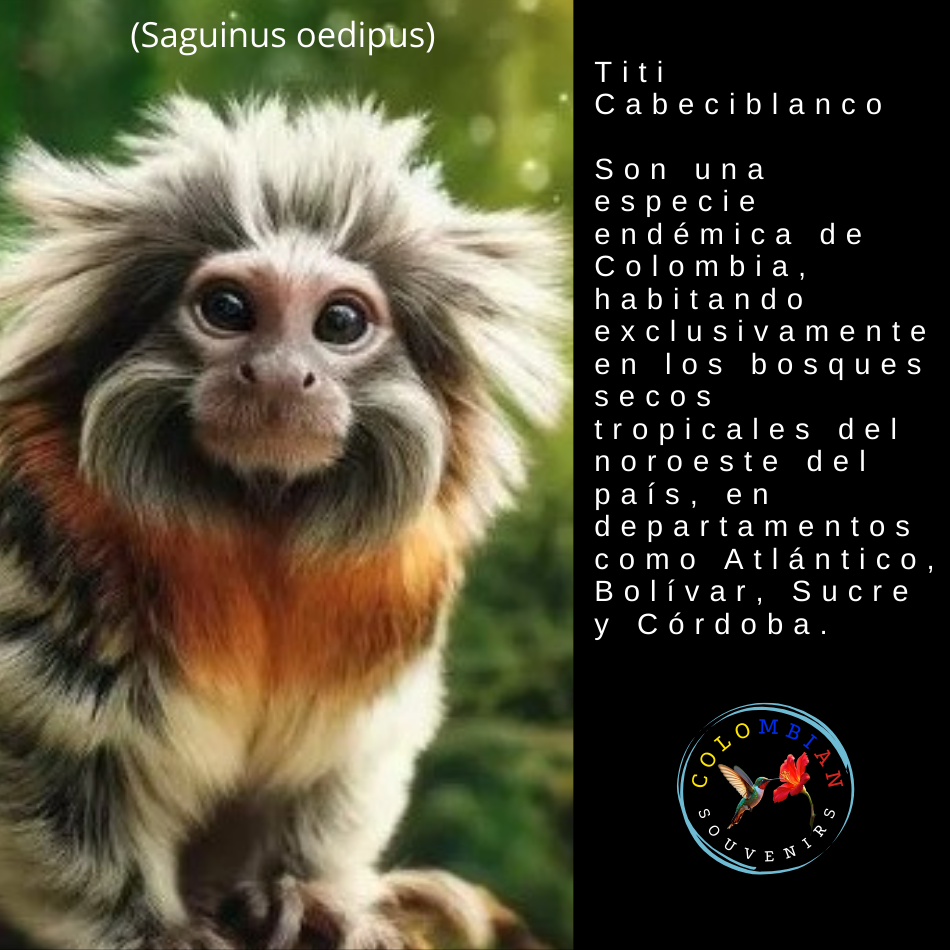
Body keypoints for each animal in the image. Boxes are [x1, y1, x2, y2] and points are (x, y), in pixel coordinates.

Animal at [0, 96, 567, 950]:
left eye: (340, 322)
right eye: (228, 310)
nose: (276, 373)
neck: (258, 517)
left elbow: (340, 768)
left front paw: (299, 893)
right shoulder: (47, 559)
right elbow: (55, 769)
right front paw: (149, 928)